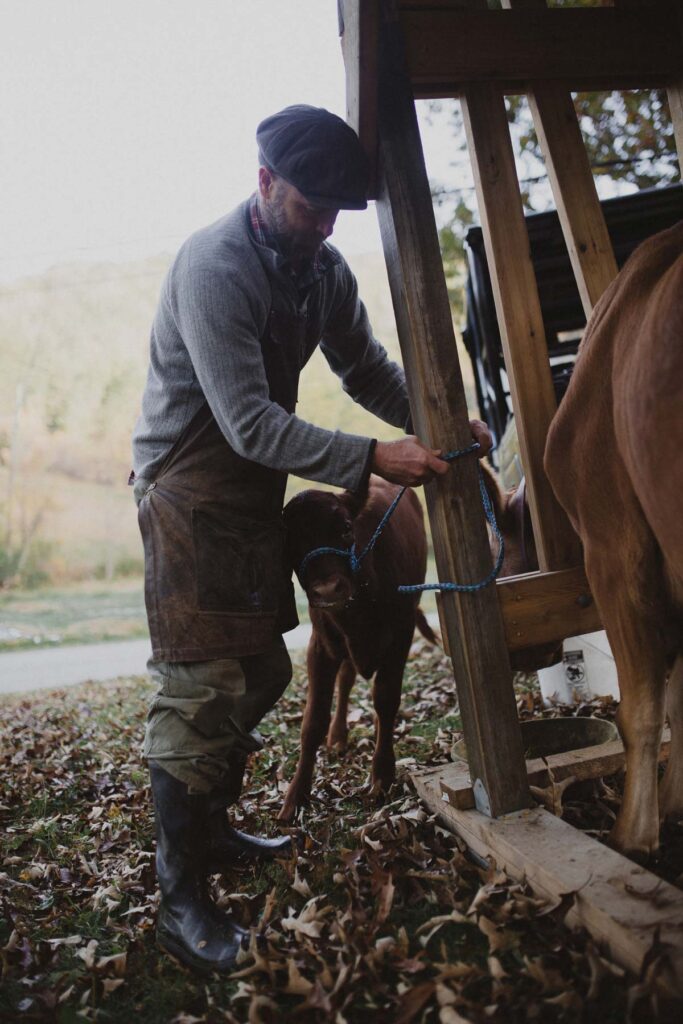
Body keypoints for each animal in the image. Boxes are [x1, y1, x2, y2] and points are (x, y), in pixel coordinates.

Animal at [276, 475, 432, 819]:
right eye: (289, 540)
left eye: (346, 527)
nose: (327, 589)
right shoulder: (321, 644)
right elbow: (312, 721)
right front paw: (296, 795)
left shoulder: (401, 633)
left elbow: (386, 700)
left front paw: (381, 775)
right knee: (346, 680)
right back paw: (337, 736)